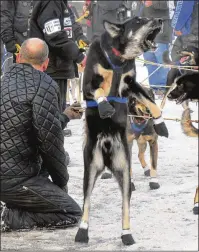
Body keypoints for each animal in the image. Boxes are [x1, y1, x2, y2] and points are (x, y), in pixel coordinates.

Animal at [75, 16, 169, 246]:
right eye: (140, 20)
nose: (160, 19)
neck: (119, 60)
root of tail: (108, 153)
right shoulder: (89, 84)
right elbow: (100, 91)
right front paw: (105, 106)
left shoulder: (131, 84)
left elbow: (151, 101)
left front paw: (160, 122)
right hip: (90, 170)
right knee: (87, 203)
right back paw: (82, 231)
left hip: (125, 173)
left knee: (125, 205)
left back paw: (127, 234)